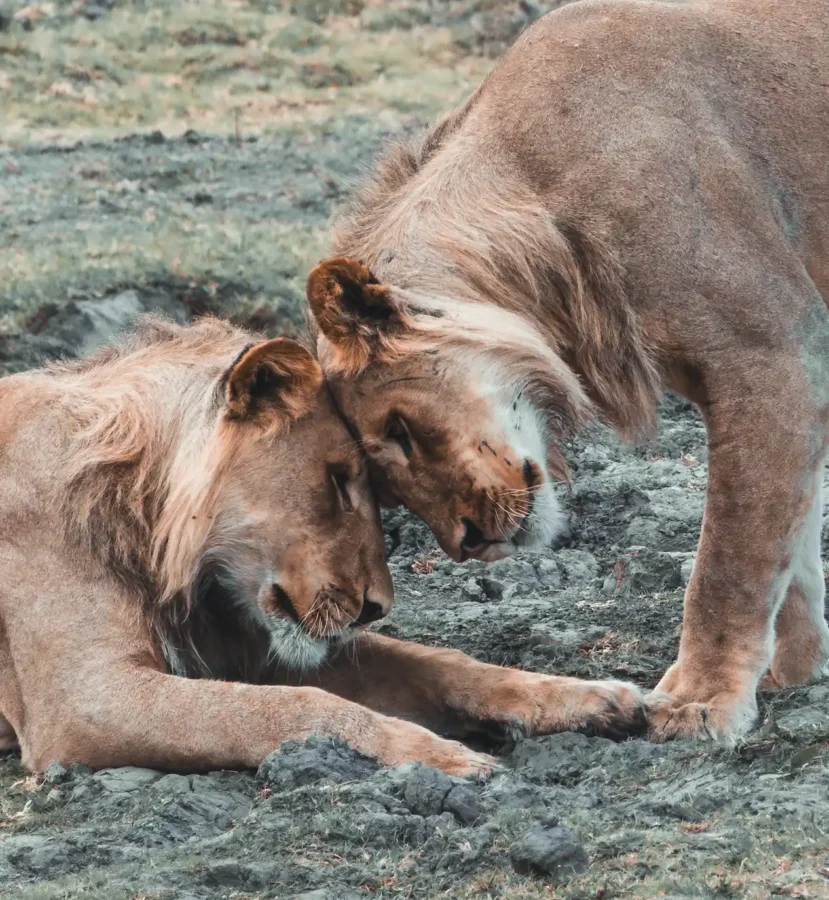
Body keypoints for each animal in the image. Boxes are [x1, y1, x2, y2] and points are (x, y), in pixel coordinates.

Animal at [0, 317, 645, 775]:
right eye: (337, 479)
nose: (376, 608)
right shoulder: (85, 702)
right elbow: (297, 707)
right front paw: (438, 754)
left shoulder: (255, 650)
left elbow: (445, 663)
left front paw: (593, 698)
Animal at [306, 0, 829, 744]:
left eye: (399, 430)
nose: (467, 545)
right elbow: (790, 540)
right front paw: (794, 668)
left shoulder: (774, 351)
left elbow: (731, 558)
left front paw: (699, 699)